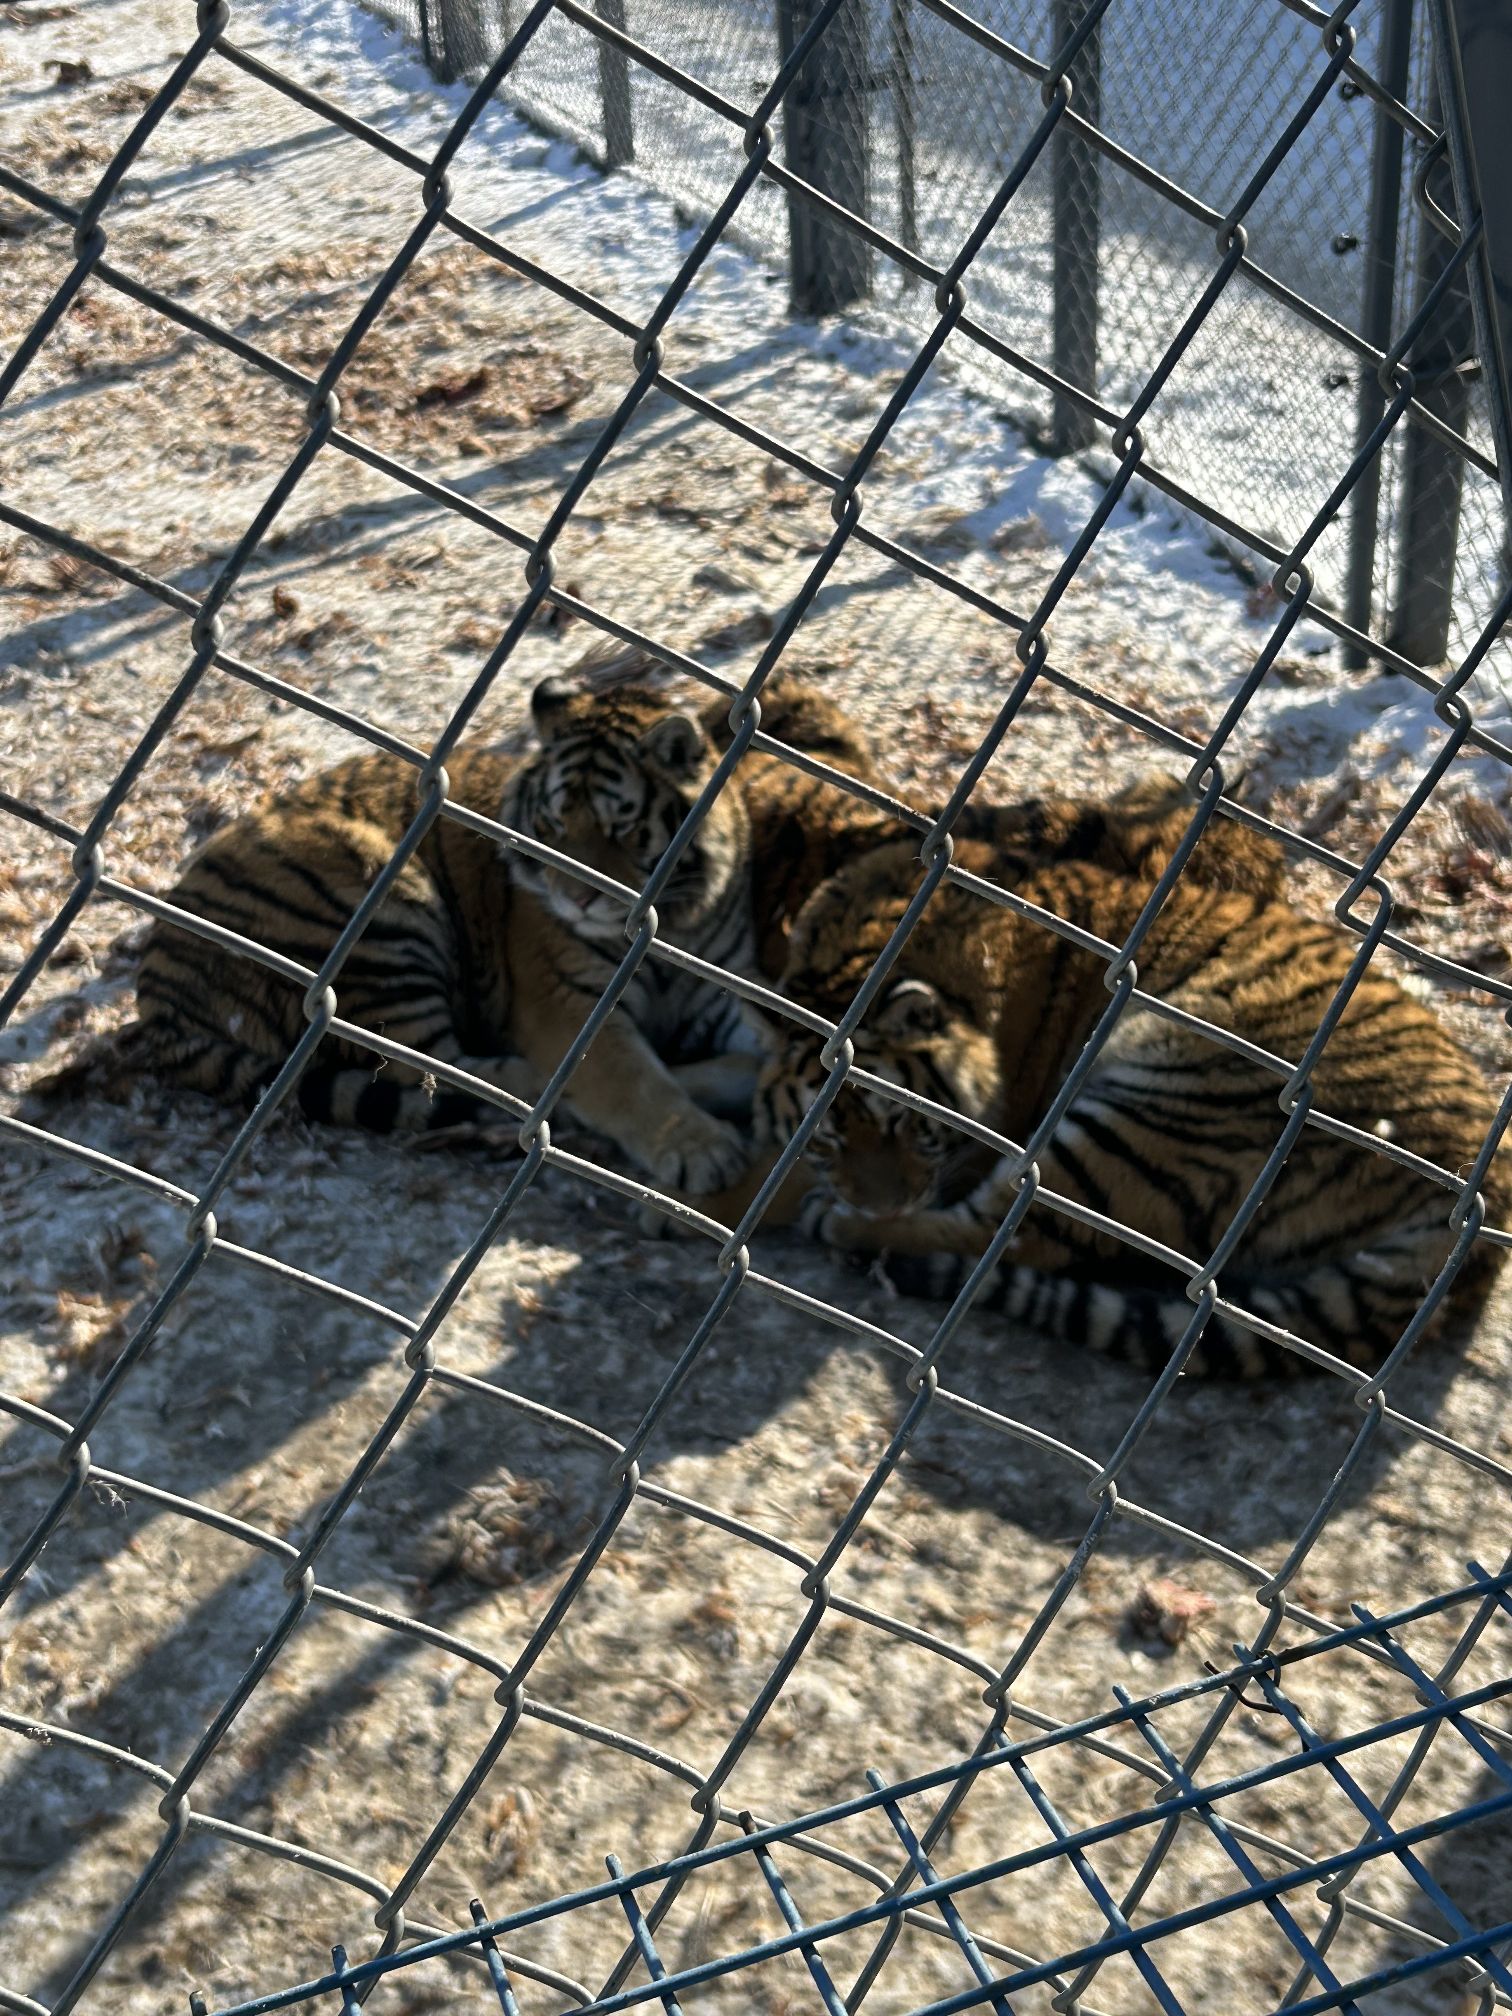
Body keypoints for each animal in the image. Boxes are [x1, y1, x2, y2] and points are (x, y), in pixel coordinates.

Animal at [749, 836, 1508, 1375]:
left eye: (907, 1124)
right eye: (826, 1138)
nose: (881, 1205)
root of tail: (1484, 1203)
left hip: (1157, 1107)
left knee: (1003, 1236)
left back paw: (843, 1226)